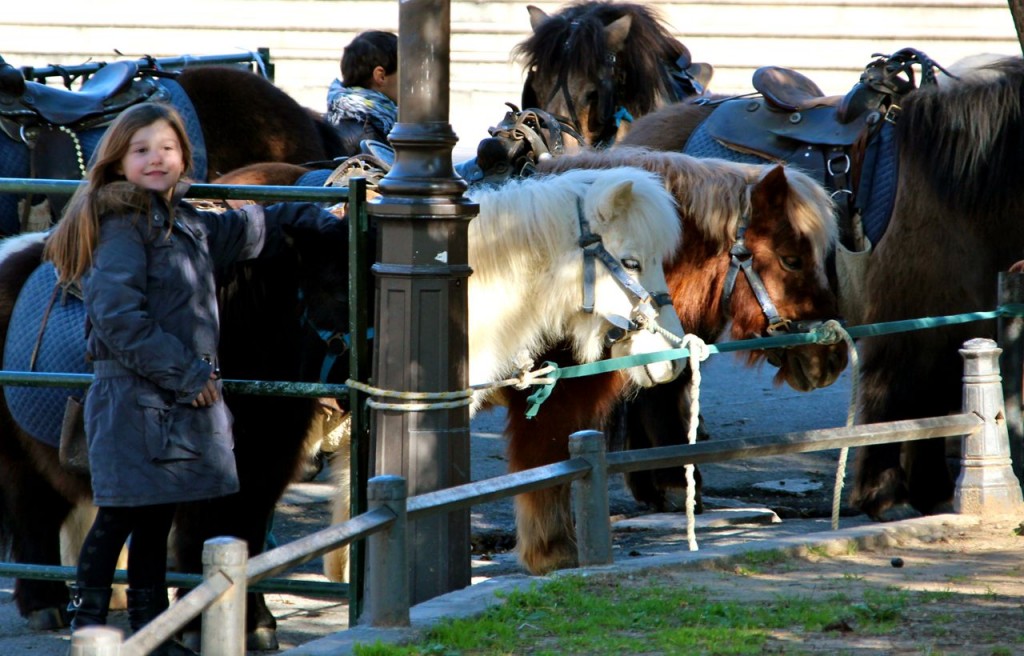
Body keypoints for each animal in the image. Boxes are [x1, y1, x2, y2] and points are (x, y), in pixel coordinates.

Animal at [622, 53, 1024, 519]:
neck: (952, 185)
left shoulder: (956, 322)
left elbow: (936, 404)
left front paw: (933, 493)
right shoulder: (906, 324)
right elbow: (896, 400)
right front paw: (887, 495)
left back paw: (651, 487)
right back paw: (672, 486)